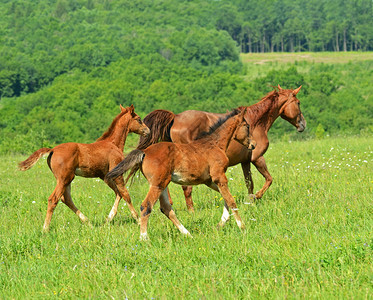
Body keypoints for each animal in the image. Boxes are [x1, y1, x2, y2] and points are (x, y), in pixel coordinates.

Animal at [18, 105, 150, 232]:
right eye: (139, 119)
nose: (148, 131)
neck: (113, 144)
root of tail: (53, 149)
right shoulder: (117, 174)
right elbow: (126, 194)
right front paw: (138, 220)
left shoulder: (105, 176)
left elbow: (119, 193)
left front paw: (108, 219)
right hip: (65, 178)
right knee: (53, 199)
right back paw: (45, 229)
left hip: (65, 179)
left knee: (66, 199)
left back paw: (88, 223)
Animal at [137, 84, 306, 211]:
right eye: (298, 103)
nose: (302, 124)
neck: (255, 121)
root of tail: (175, 117)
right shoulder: (257, 158)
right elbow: (269, 179)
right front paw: (256, 197)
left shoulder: (245, 161)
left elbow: (249, 183)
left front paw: (250, 201)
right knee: (186, 189)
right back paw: (191, 211)